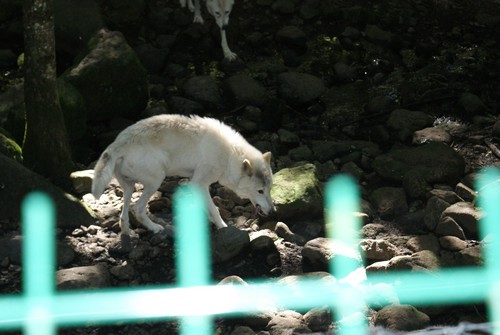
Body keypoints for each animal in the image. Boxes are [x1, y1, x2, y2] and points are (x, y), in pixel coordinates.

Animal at [92, 115, 276, 236]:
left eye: (269, 189)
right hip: (156, 180)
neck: (229, 155)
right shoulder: (199, 184)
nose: (273, 212)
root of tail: (117, 143)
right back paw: (155, 228)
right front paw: (223, 227)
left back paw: (128, 234)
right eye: (260, 191)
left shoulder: (192, 184)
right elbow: (215, 209)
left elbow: (206, 207)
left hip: (129, 187)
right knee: (137, 209)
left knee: (123, 215)